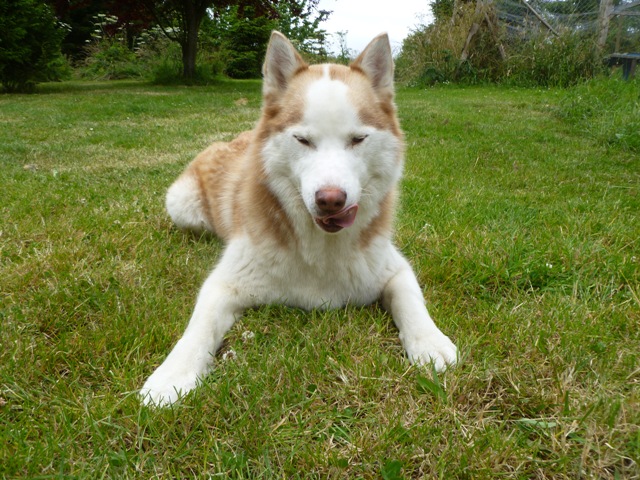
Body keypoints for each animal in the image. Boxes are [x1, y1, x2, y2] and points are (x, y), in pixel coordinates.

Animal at [140, 31, 456, 404]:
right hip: (182, 206)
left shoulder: (393, 267)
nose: (331, 200)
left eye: (358, 139)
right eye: (303, 140)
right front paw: (173, 374)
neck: (321, 250)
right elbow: (198, 328)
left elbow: (412, 301)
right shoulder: (225, 282)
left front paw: (430, 342)